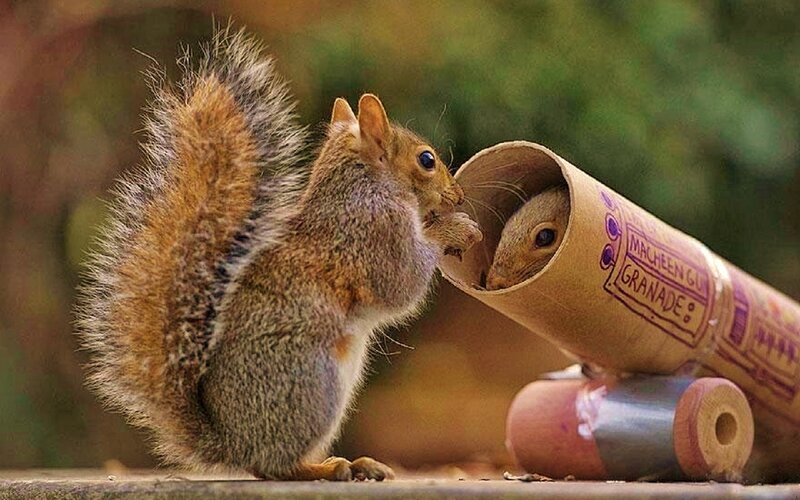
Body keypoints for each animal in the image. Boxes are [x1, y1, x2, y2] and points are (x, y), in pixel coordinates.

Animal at [75, 28, 482, 481]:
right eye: (426, 160)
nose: (457, 195)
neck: (363, 187)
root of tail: (235, 444)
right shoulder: (374, 234)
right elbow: (402, 284)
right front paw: (455, 229)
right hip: (310, 386)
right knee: (276, 467)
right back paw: (325, 469)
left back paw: (356, 463)